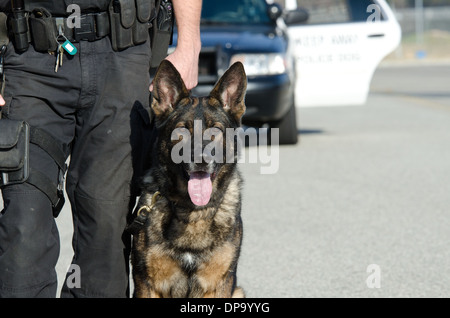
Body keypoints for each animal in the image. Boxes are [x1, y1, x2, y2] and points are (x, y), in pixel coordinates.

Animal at [128, 60, 248, 298]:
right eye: (181, 131)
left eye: (215, 131)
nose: (201, 159)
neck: (192, 212)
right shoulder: (148, 284)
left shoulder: (219, 284)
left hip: (238, 292)